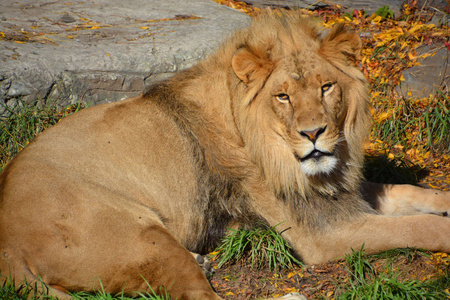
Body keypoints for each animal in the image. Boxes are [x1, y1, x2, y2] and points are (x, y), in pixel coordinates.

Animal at [0, 9, 450, 300]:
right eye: (283, 96)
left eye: (326, 87)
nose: (314, 134)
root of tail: (7, 245)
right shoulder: (319, 235)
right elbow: (415, 227)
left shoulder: (338, 195)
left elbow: (408, 192)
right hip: (144, 239)